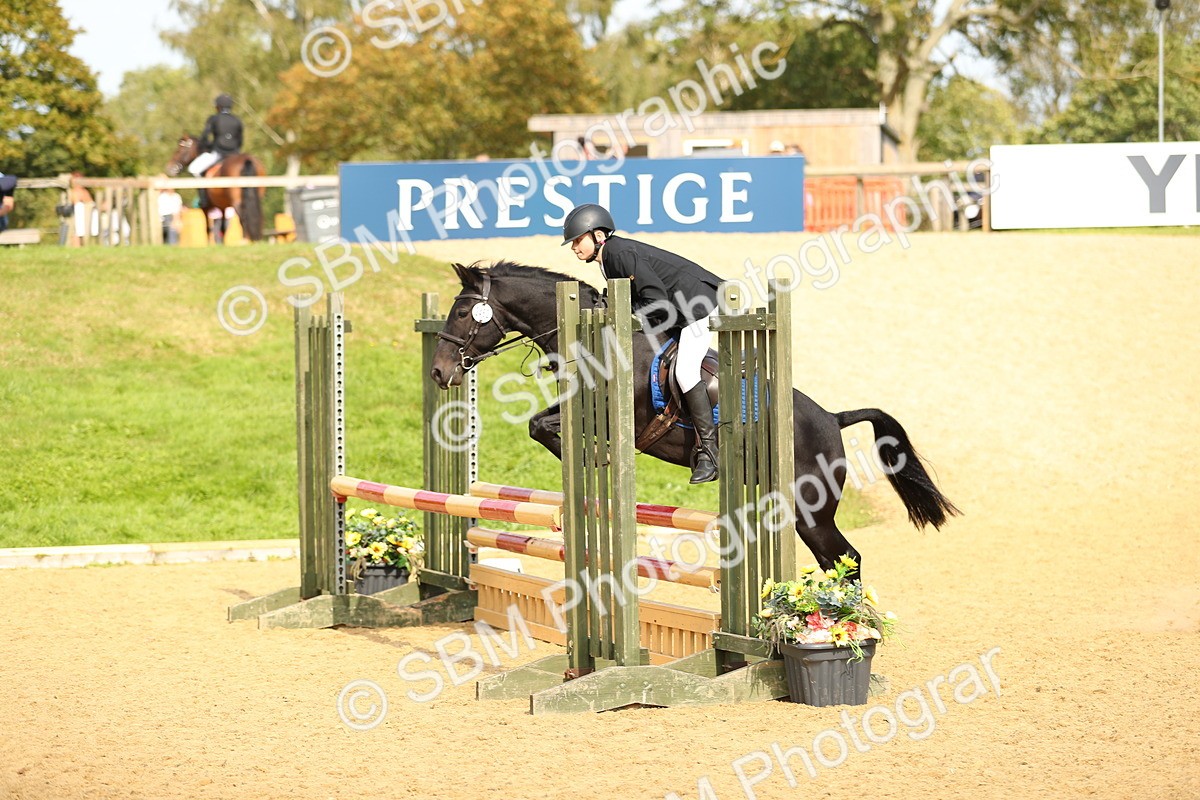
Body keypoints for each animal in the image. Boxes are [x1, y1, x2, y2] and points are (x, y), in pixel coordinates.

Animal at [428, 260, 960, 577]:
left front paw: (593, 461)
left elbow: (548, 429)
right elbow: (538, 424)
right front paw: (585, 465)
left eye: (463, 313)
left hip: (810, 509)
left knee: (846, 557)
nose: (439, 372)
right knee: (835, 559)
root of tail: (832, 417)